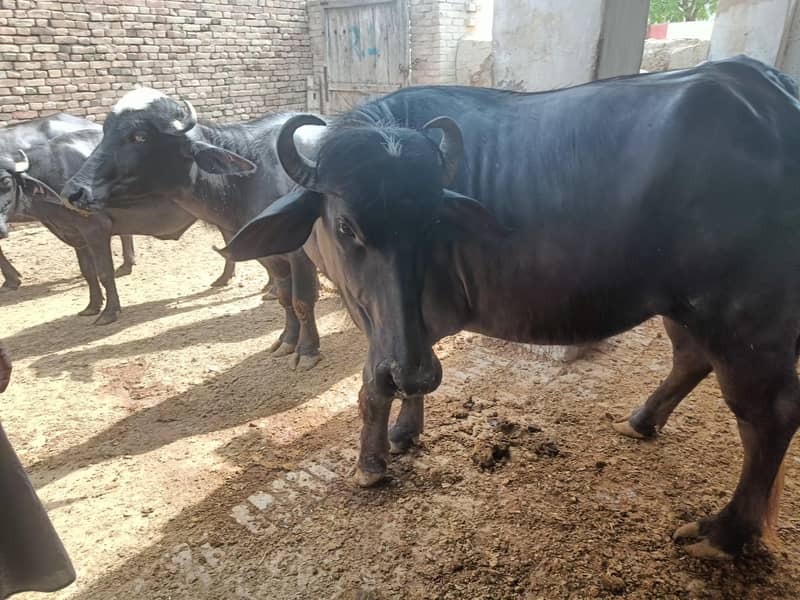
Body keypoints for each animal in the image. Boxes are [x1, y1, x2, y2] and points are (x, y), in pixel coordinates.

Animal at [62, 88, 321, 368]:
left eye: (139, 136)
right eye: (106, 131)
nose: (74, 192)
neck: (250, 179)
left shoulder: (299, 254)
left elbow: (301, 301)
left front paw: (307, 350)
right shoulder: (270, 256)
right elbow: (285, 298)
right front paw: (287, 340)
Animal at [204, 56, 800, 559]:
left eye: (433, 223)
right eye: (347, 225)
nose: (417, 370)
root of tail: (773, 94)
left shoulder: (386, 329)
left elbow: (373, 389)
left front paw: (371, 463)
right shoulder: (406, 333)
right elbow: (402, 384)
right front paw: (406, 432)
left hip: (745, 320)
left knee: (769, 417)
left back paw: (722, 534)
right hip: (685, 305)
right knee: (692, 360)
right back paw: (642, 422)